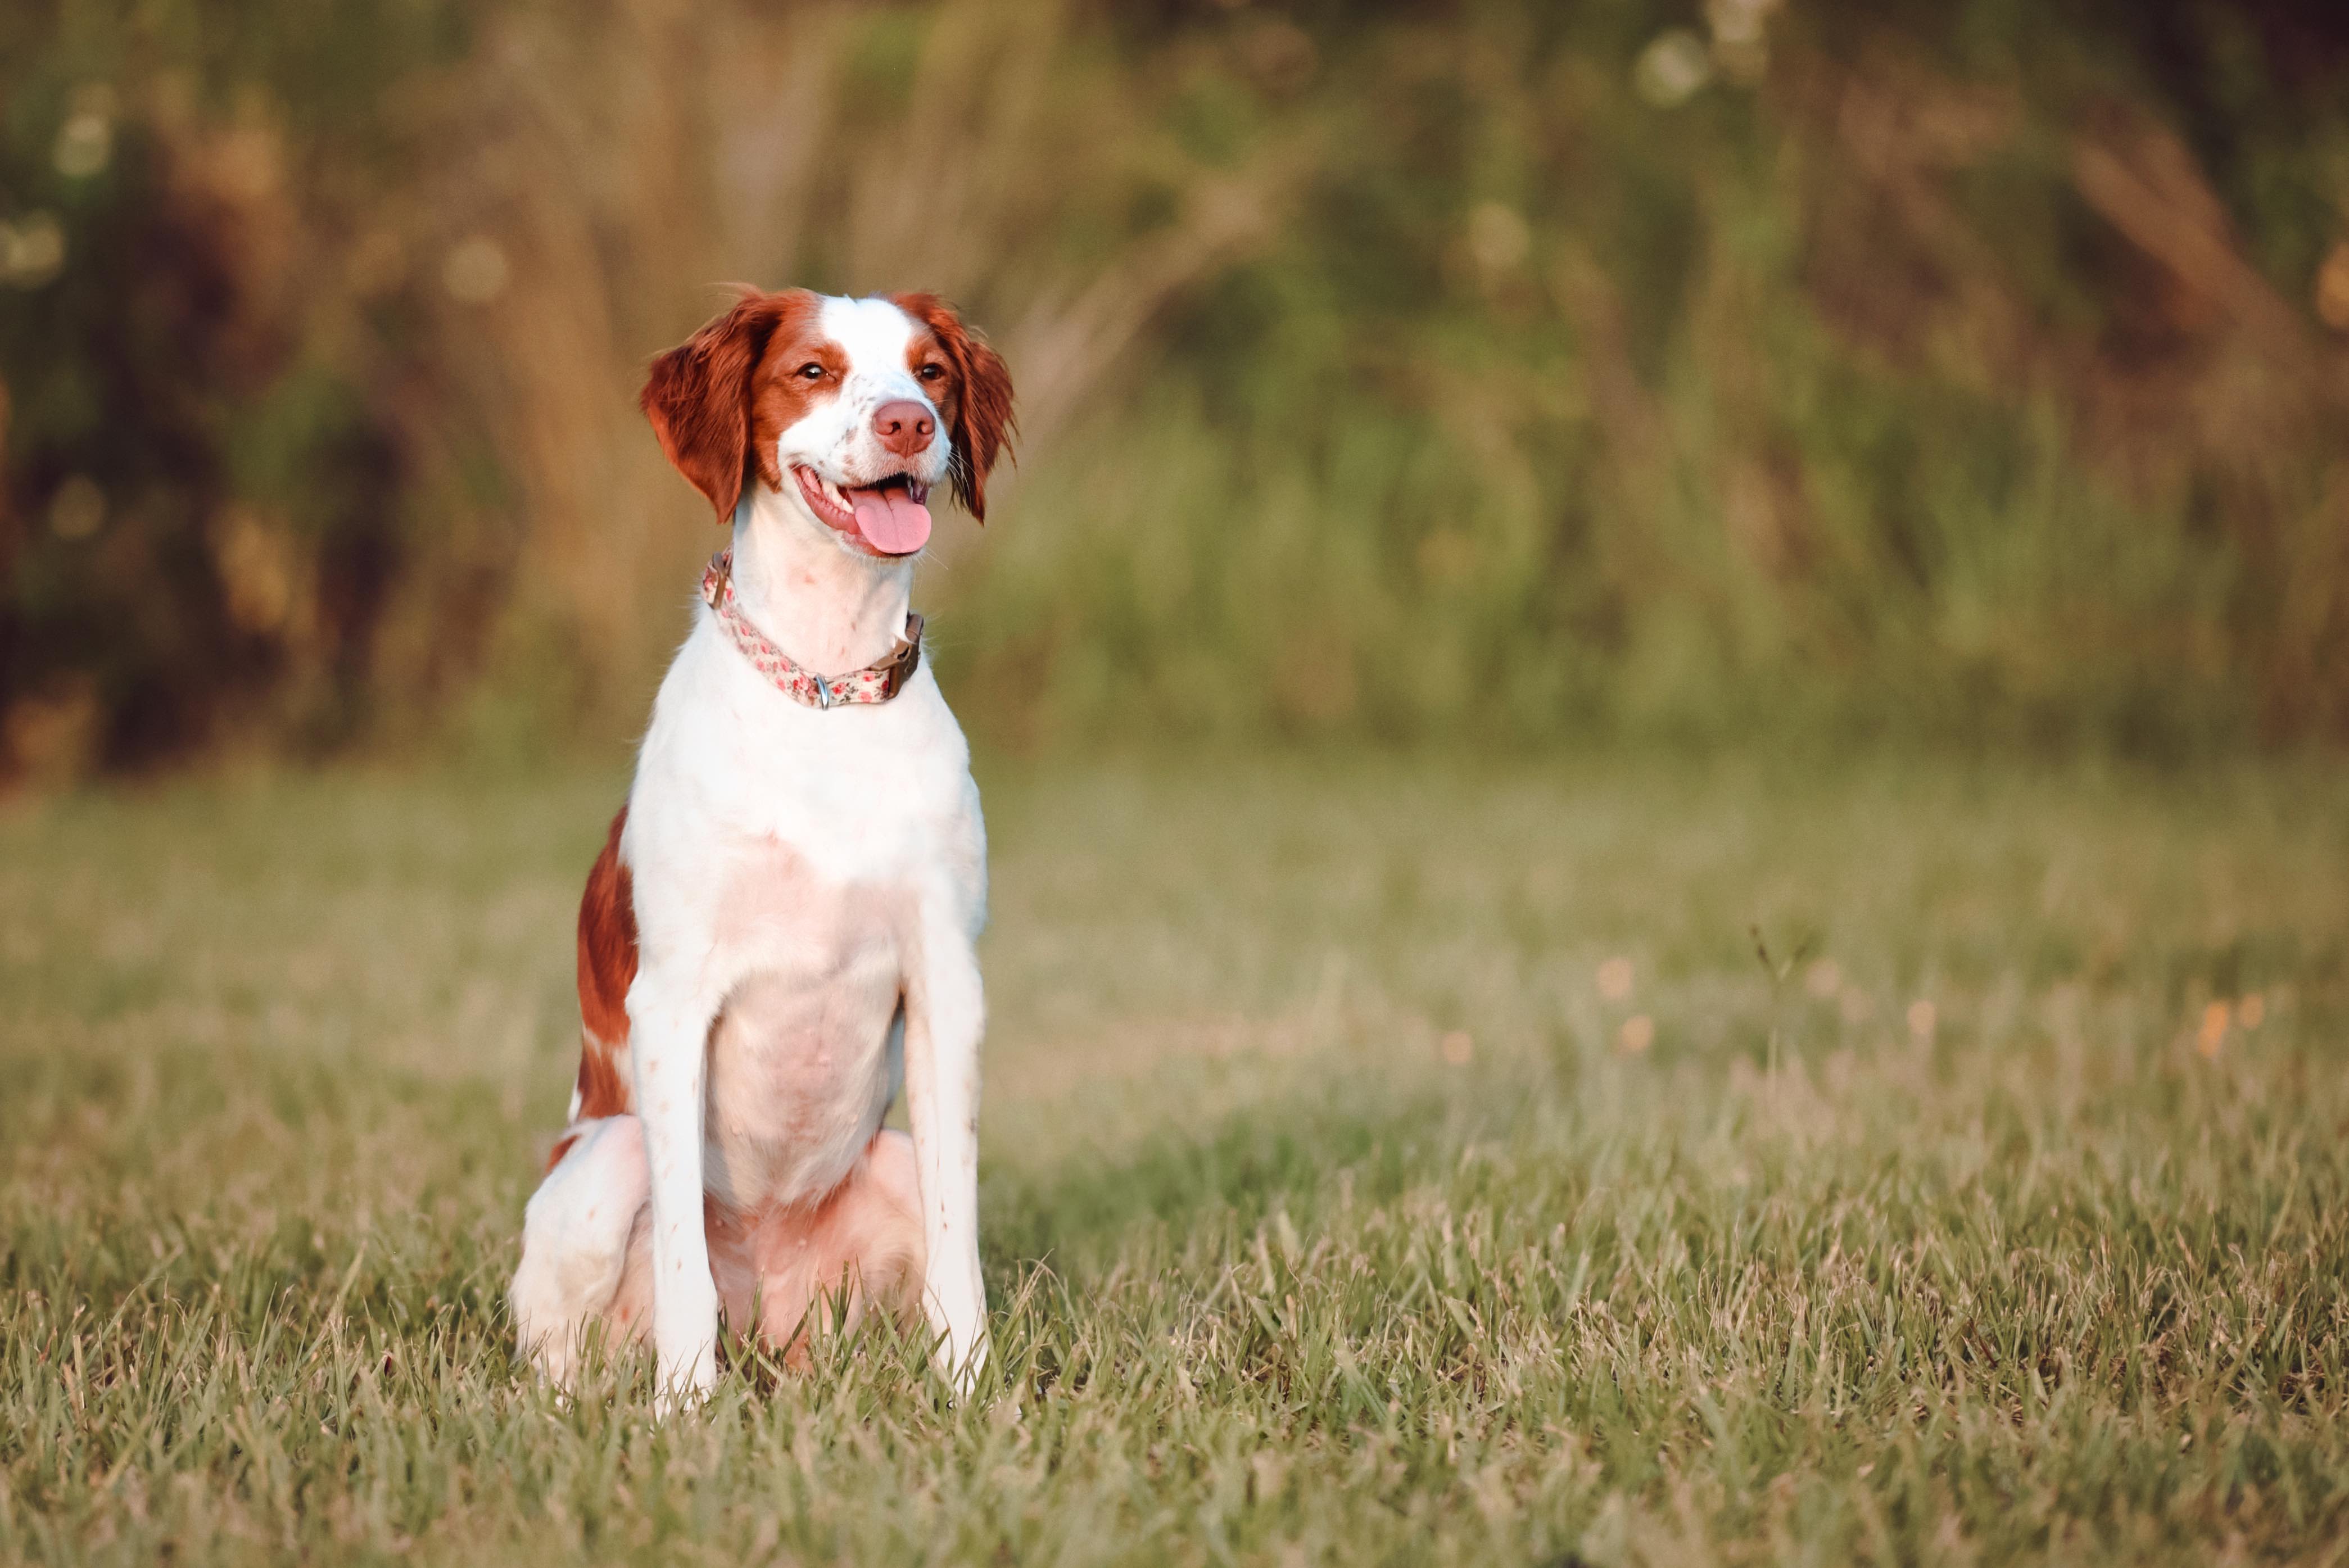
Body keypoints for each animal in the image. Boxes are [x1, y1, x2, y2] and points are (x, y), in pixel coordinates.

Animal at [514, 287, 1010, 1399]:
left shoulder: (946, 982)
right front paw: (684, 1408)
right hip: (607, 1158)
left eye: (930, 371)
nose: (908, 422)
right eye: (812, 371)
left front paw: (971, 1390)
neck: (823, 688)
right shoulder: (671, 999)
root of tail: (771, 1324)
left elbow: (960, 1239)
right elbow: (680, 1268)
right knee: (560, 1353)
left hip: (884, 1164)